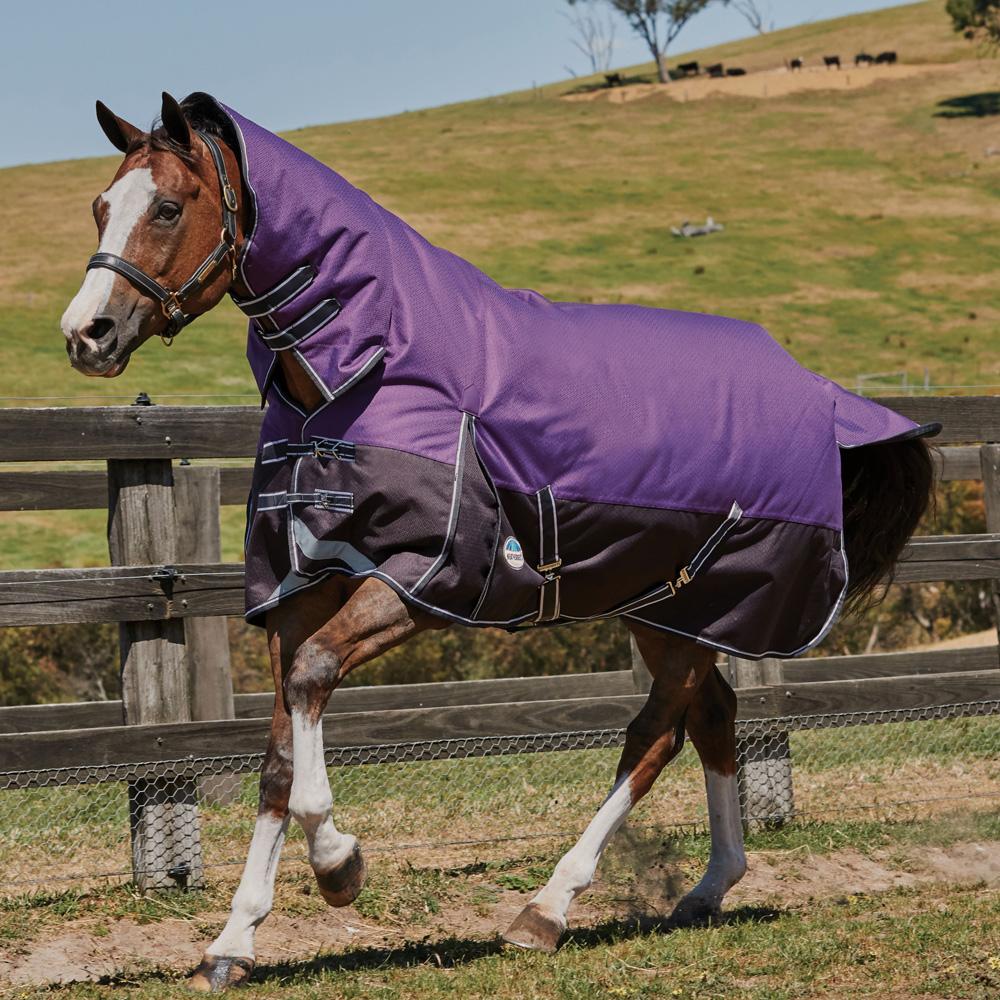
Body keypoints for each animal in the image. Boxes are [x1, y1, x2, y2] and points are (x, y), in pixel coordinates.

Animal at [61, 92, 937, 992]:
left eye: (168, 208)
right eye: (100, 205)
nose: (87, 334)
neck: (368, 371)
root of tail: (822, 395)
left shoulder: (423, 583)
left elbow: (310, 691)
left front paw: (341, 865)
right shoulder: (300, 589)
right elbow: (277, 754)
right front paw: (233, 942)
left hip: (709, 603)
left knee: (653, 736)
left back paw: (547, 909)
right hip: (663, 610)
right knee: (714, 720)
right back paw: (707, 889)